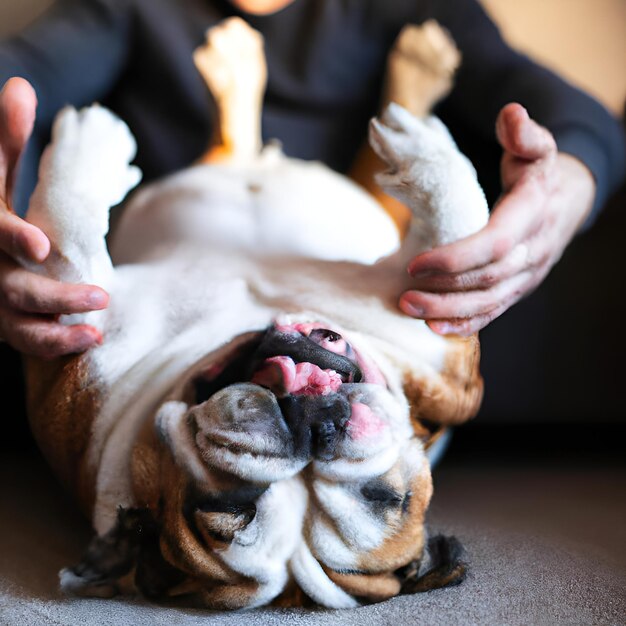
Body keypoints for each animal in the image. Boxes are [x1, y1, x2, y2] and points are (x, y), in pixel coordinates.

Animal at [23, 18, 488, 604]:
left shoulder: (442, 337)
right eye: (228, 507)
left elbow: (456, 214)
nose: (315, 425)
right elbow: (66, 229)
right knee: (232, 144)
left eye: (385, 497)